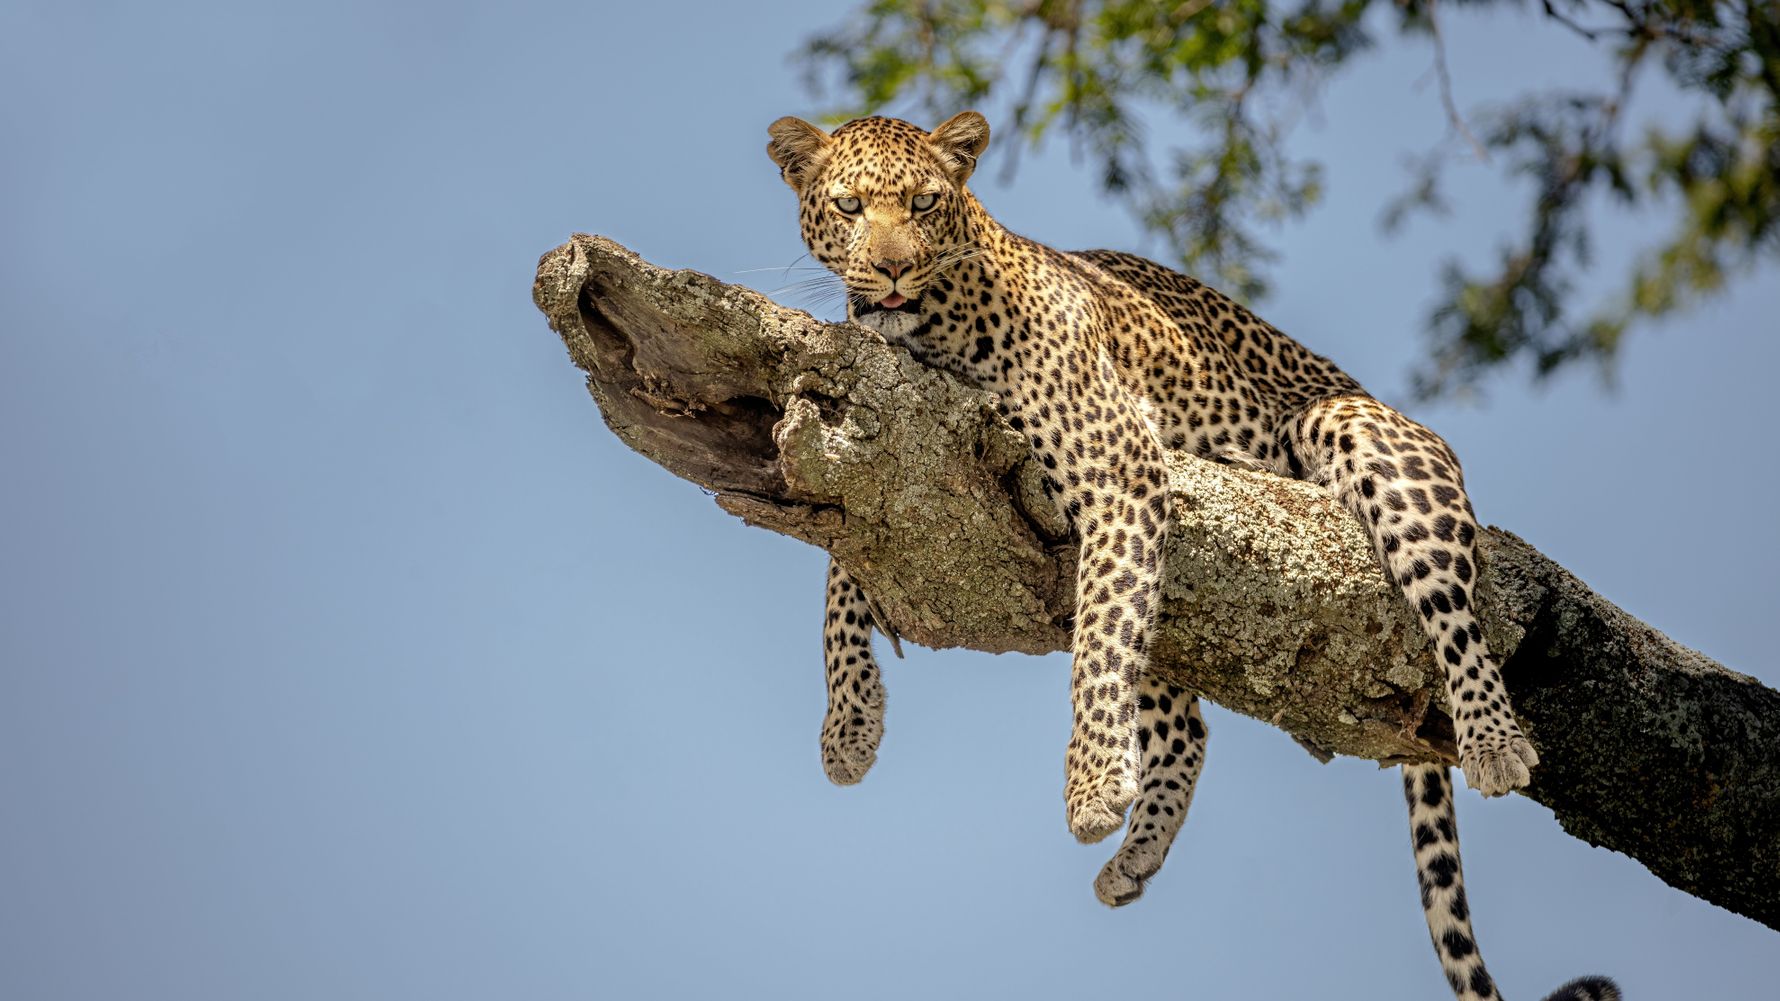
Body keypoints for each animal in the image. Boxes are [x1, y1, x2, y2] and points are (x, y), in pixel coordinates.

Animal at [770, 111, 1617, 1001]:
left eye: (925, 202)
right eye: (851, 205)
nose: (893, 267)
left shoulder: (1120, 471)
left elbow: (1096, 654)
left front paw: (1090, 784)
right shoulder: (882, 432)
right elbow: (841, 562)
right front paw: (848, 724)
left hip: (1366, 438)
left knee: (1453, 611)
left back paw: (1492, 738)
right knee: (1186, 721)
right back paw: (1136, 854)